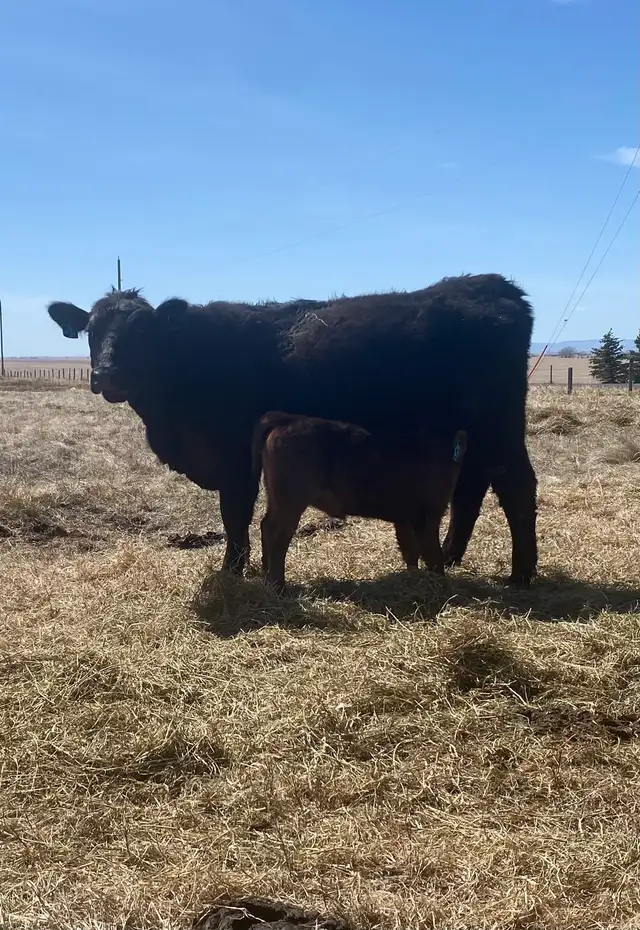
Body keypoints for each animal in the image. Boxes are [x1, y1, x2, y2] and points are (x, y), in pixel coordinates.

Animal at [252, 411, 468, 592]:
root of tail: (286, 419)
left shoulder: (405, 517)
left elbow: (410, 550)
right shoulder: (429, 513)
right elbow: (433, 554)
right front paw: (440, 584)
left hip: (277, 499)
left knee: (266, 526)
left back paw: (266, 576)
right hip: (291, 500)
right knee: (277, 534)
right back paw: (278, 586)